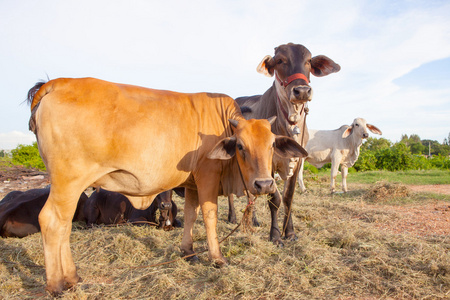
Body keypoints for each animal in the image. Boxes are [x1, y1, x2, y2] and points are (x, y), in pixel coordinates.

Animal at [26, 77, 308, 296]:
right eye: (240, 146)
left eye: (272, 145)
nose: (264, 184)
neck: (222, 125)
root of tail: (56, 83)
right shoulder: (207, 177)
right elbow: (210, 216)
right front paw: (217, 258)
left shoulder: (192, 184)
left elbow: (192, 215)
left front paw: (188, 251)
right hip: (68, 181)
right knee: (52, 222)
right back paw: (57, 285)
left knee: (64, 226)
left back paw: (72, 278)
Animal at [229, 44, 342, 246]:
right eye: (280, 60)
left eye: (308, 60)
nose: (302, 91)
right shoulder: (271, 164)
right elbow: (275, 198)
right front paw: (275, 235)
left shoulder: (296, 161)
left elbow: (288, 197)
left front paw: (289, 232)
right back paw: (232, 217)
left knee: (252, 193)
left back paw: (254, 220)